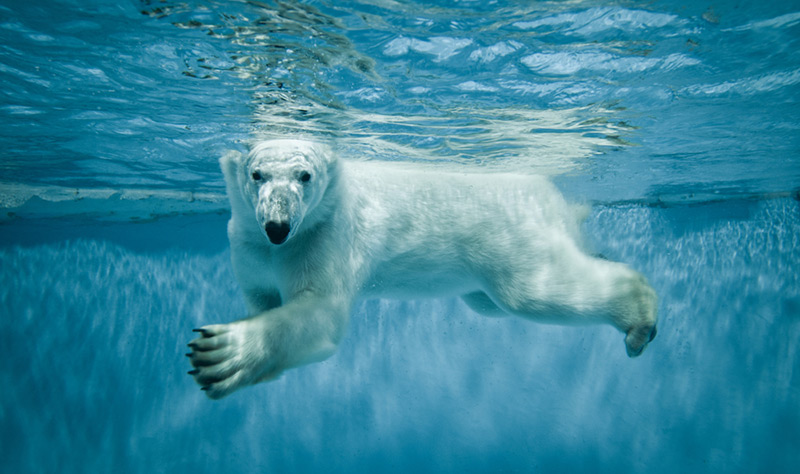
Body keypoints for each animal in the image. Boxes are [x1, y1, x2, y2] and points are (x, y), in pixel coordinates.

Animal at [188, 139, 656, 398]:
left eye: (304, 175)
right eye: (256, 174)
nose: (278, 226)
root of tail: (552, 196)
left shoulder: (325, 235)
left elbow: (320, 312)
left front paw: (220, 353)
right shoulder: (247, 246)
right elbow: (262, 297)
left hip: (508, 236)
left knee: (533, 292)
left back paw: (640, 317)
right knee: (491, 301)